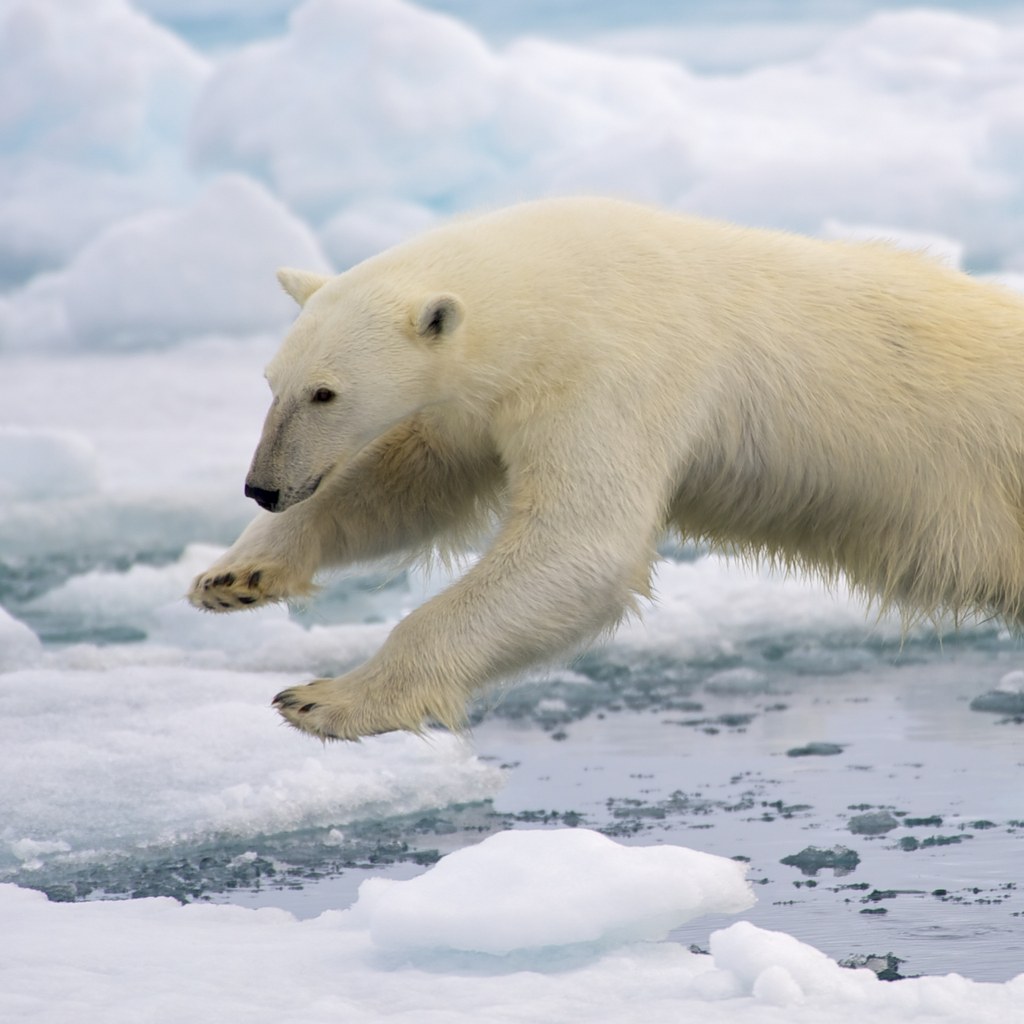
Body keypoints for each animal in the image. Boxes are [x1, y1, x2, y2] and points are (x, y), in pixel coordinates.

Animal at [188, 196, 1024, 741]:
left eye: (326, 392)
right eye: (272, 382)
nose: (263, 487)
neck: (554, 285)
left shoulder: (614, 371)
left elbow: (578, 547)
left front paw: (323, 699)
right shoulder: (484, 402)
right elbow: (406, 482)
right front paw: (233, 577)